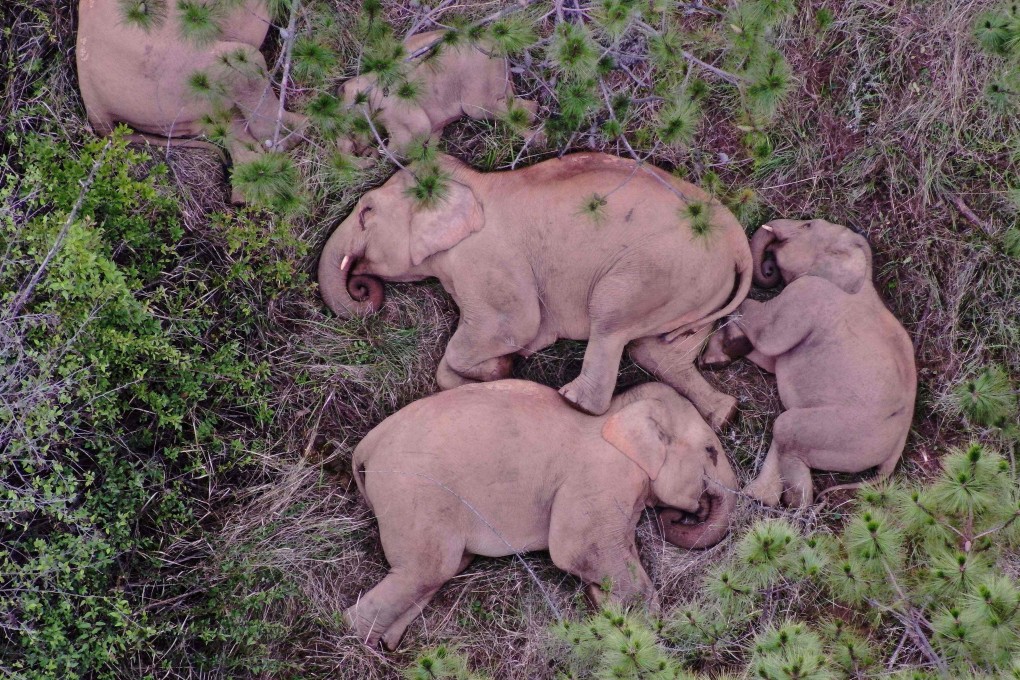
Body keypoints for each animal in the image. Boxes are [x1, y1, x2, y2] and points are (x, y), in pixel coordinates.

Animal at [318, 152, 752, 428]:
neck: (475, 183)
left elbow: (515, 325)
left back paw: (571, 400)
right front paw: (498, 369)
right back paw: (724, 414)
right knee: (657, 351)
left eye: (366, 212)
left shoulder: (489, 260)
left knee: (610, 321)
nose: (362, 287)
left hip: (659, 269)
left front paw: (503, 365)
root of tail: (739, 243)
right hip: (698, 287)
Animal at [337, 30, 541, 159]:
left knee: (483, 108)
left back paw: (537, 140)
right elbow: (433, 134)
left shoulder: (392, 104)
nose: (362, 152)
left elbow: (416, 132)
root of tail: (496, 42)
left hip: (478, 73)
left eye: (352, 132)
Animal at [345, 379, 739, 650]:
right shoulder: (601, 473)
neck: (619, 409)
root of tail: (367, 445)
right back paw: (352, 637)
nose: (682, 514)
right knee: (427, 569)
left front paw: (607, 609)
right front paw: (638, 628)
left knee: (437, 571)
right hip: (413, 492)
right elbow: (578, 549)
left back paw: (385, 644)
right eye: (711, 451)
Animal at [702, 218, 917, 507]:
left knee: (786, 428)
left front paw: (723, 350)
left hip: (843, 431)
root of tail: (895, 452)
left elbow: (766, 333)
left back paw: (794, 502)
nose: (769, 266)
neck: (863, 277)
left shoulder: (807, 294)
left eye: (807, 225)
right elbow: (770, 359)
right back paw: (759, 498)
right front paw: (722, 354)